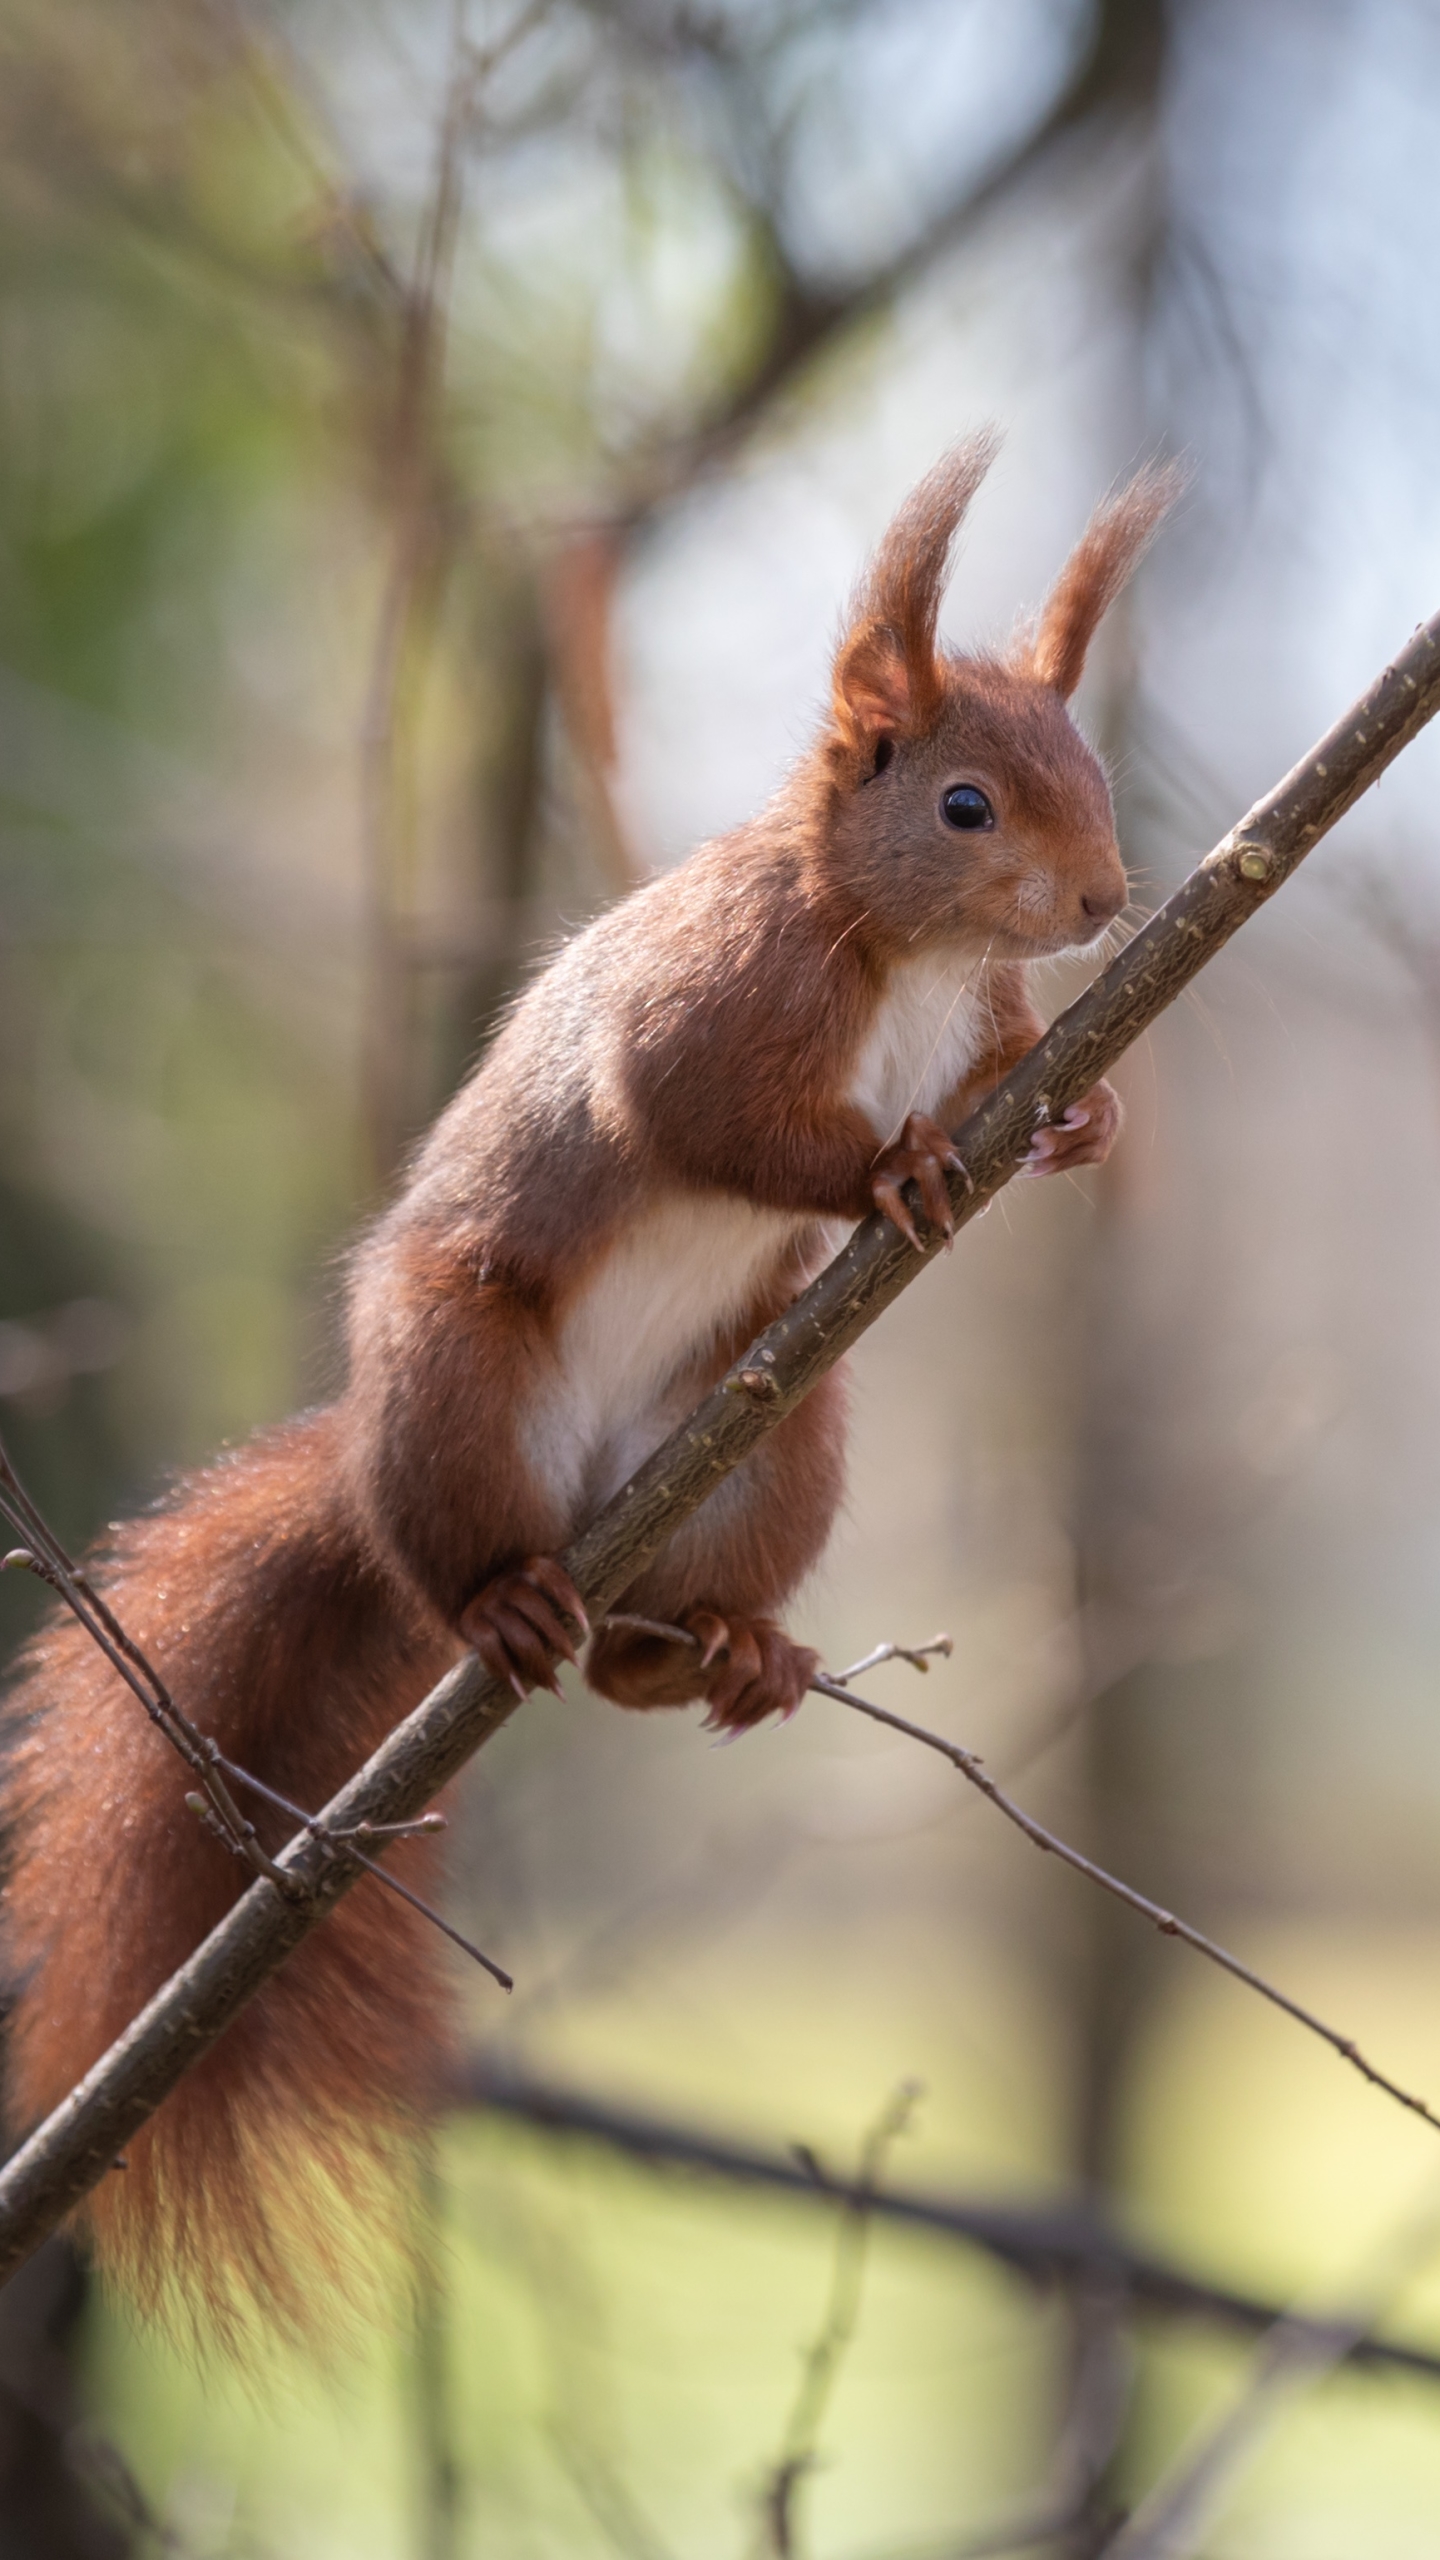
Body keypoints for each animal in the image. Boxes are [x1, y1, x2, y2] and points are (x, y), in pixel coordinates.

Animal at [0, 445, 1168, 2344]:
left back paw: (719, 1652)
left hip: (784, 1444)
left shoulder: (985, 1025)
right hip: (458, 1379)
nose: (1104, 906)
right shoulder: (719, 1000)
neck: (901, 953)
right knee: (453, 1565)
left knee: (647, 1655)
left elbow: (1009, 1071)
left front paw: (1086, 1121)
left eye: (1099, 782)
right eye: (968, 805)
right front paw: (893, 1169)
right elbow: (704, 1112)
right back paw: (503, 1604)